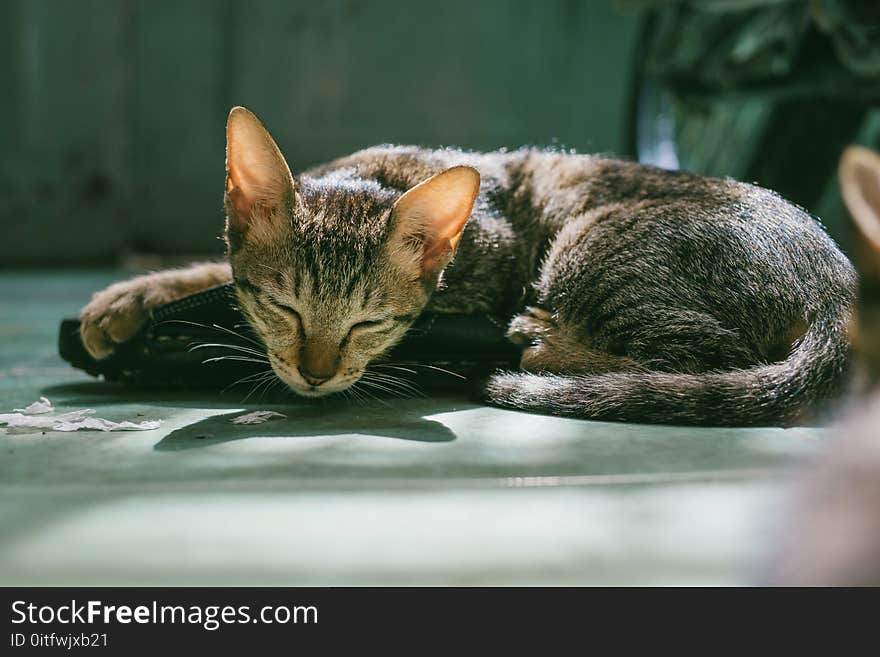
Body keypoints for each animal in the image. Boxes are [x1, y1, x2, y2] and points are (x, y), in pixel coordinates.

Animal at [79, 107, 856, 426]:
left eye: (369, 323)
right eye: (284, 306)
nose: (315, 373)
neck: (377, 176)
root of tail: (841, 288)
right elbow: (213, 269)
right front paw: (131, 296)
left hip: (592, 243)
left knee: (699, 355)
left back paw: (545, 340)